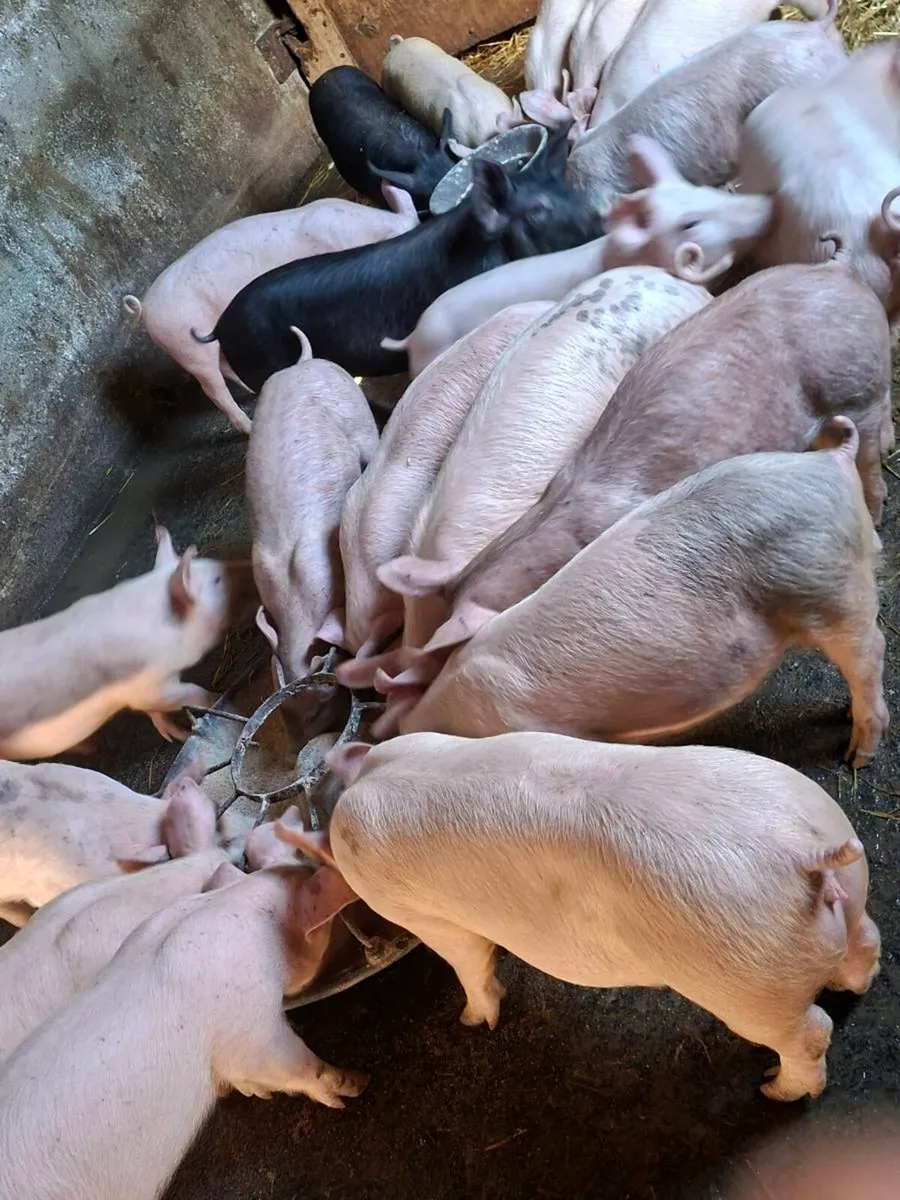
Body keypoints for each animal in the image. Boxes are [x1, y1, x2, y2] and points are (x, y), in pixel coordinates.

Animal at [0, 526, 254, 759]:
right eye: (217, 580)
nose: (248, 562)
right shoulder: (147, 687)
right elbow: (188, 695)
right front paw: (215, 699)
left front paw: (174, 734)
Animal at [280, 730, 880, 1102]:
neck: (369, 778)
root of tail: (802, 855)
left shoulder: (427, 917)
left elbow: (470, 962)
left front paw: (472, 1021)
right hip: (844, 880)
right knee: (866, 943)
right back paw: (854, 987)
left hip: (748, 983)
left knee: (812, 1032)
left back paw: (775, 1089)